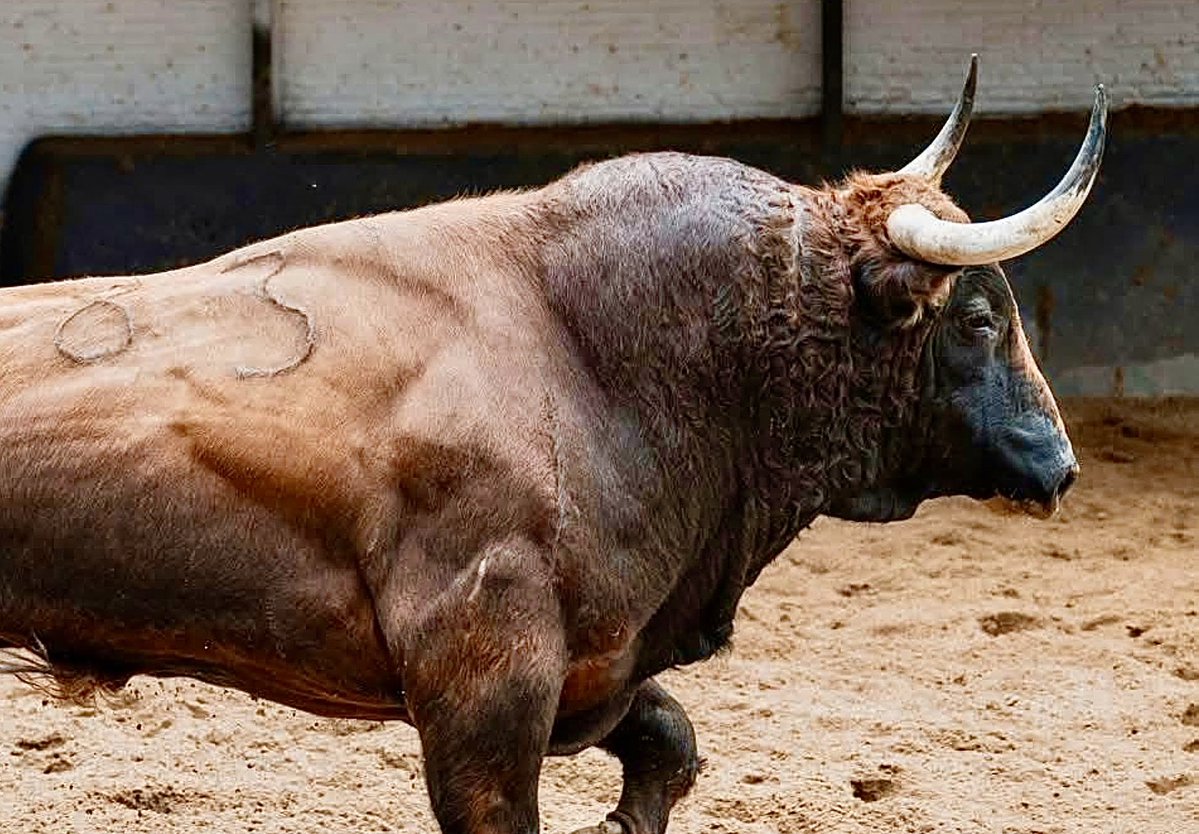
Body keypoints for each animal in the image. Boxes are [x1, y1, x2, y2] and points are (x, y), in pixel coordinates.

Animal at [0, 59, 1102, 834]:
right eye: (975, 318)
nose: (1057, 462)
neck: (594, 347)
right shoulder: (487, 692)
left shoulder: (598, 664)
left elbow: (668, 741)